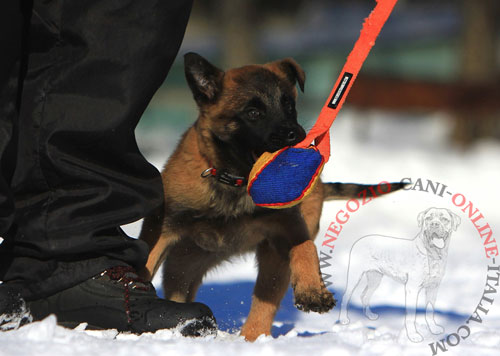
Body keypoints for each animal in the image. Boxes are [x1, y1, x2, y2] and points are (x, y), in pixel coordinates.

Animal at [139, 52, 404, 340]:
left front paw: (313, 290)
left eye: (288, 105)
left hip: (266, 259)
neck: (236, 183)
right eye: (253, 113)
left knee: (264, 304)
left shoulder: (288, 225)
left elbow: (306, 247)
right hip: (184, 264)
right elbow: (144, 264)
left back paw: (252, 337)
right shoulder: (163, 229)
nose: (296, 135)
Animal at [340, 207, 460, 344]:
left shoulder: (433, 288)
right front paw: (413, 336)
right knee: (346, 296)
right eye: (428, 218)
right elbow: (411, 316)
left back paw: (370, 315)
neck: (432, 254)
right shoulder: (412, 289)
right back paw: (343, 320)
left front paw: (434, 329)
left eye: (444, 219)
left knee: (365, 296)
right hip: (355, 277)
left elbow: (430, 310)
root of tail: (359, 240)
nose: (434, 224)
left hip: (375, 278)